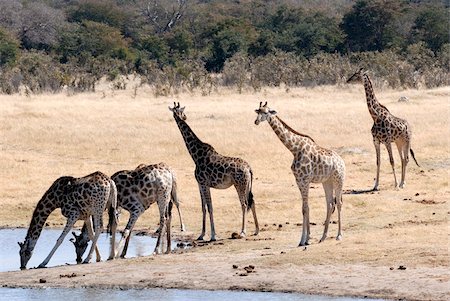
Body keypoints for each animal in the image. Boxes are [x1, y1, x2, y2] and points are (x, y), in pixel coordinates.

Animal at [170, 102, 260, 240]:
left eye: (181, 111)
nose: (184, 117)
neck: (195, 156)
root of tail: (249, 168)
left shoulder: (204, 183)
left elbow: (210, 207)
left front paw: (213, 235)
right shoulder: (200, 184)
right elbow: (203, 208)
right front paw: (201, 234)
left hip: (240, 184)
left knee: (244, 204)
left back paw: (242, 232)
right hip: (247, 185)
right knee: (252, 201)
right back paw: (256, 230)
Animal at [253, 102, 344, 245]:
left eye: (266, 112)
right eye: (258, 111)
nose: (256, 121)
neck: (294, 149)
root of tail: (342, 162)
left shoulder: (305, 180)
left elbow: (305, 208)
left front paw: (304, 240)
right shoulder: (299, 181)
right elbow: (304, 208)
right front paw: (306, 238)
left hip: (338, 180)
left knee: (339, 203)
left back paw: (339, 235)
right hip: (327, 182)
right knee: (330, 204)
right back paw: (323, 237)